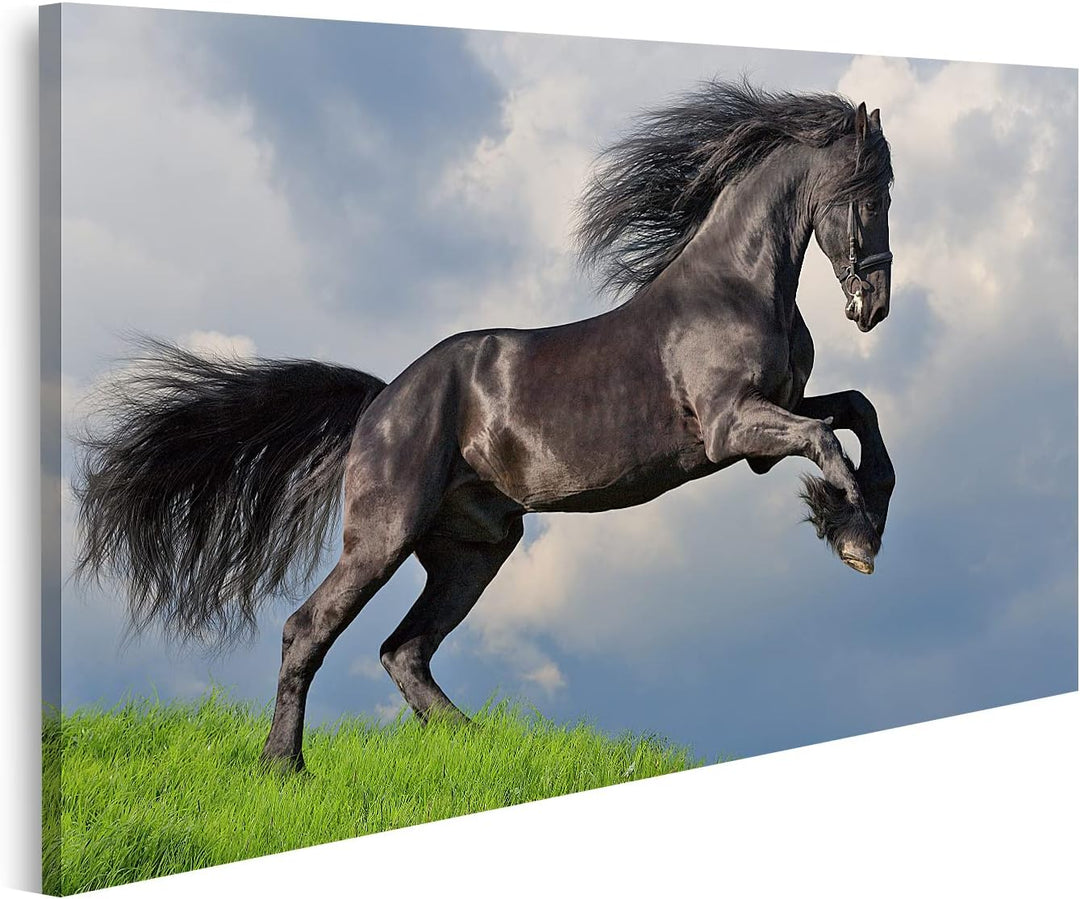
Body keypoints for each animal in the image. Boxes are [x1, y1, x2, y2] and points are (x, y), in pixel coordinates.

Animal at [74, 81, 896, 772]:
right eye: (867, 194)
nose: (875, 305)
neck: (734, 287)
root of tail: (380, 403)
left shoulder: (777, 414)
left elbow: (858, 411)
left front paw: (860, 517)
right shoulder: (731, 429)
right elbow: (828, 439)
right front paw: (853, 536)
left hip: (474, 548)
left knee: (404, 649)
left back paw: (478, 747)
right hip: (384, 534)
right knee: (311, 629)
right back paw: (284, 767)